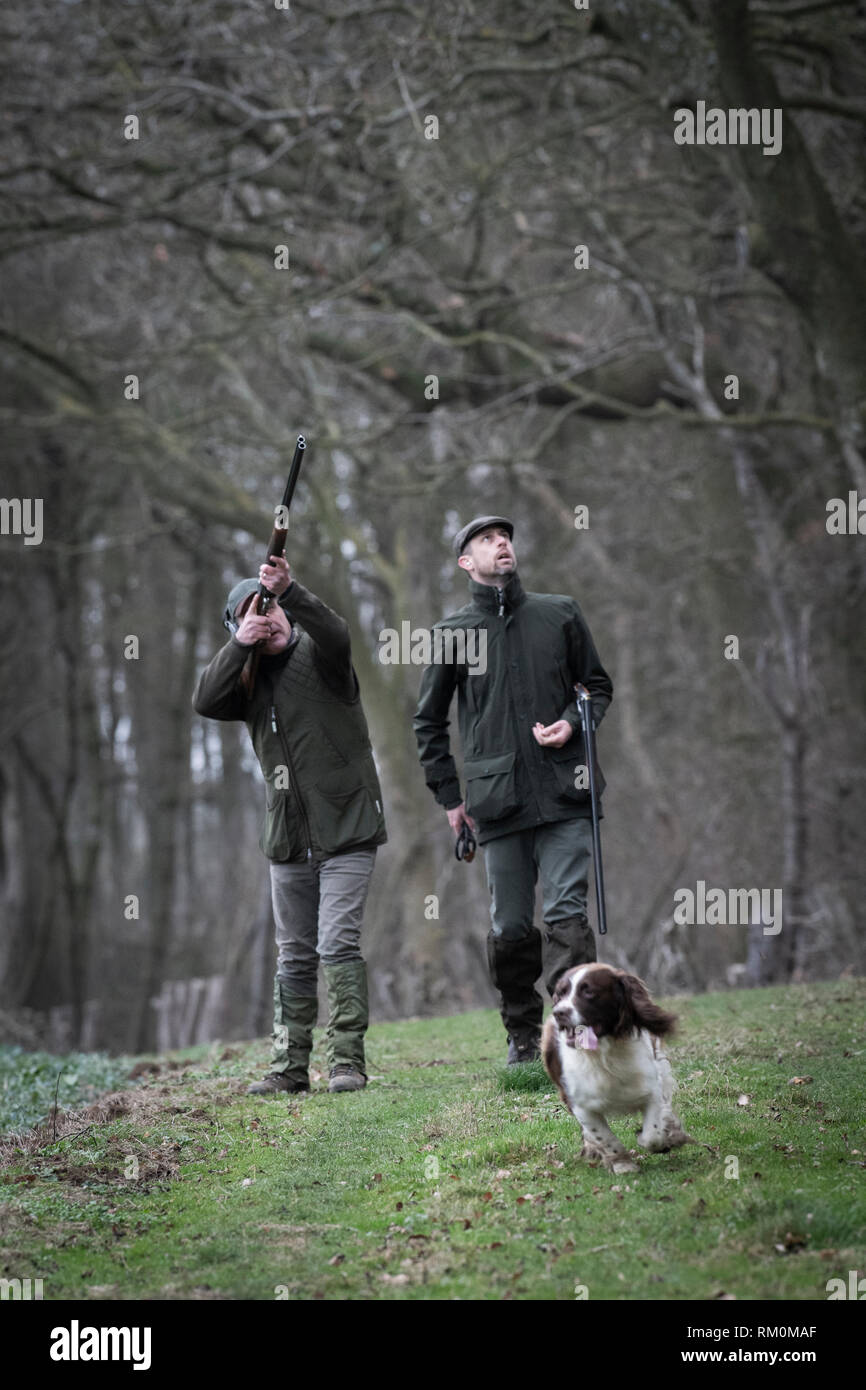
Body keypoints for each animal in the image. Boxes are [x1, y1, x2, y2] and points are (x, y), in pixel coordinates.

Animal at [542, 967, 692, 1173]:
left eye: (588, 991)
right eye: (560, 994)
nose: (558, 1012)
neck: (603, 1054)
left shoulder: (651, 1090)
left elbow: (653, 1133)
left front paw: (660, 1141)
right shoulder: (581, 1104)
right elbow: (604, 1137)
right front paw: (623, 1165)